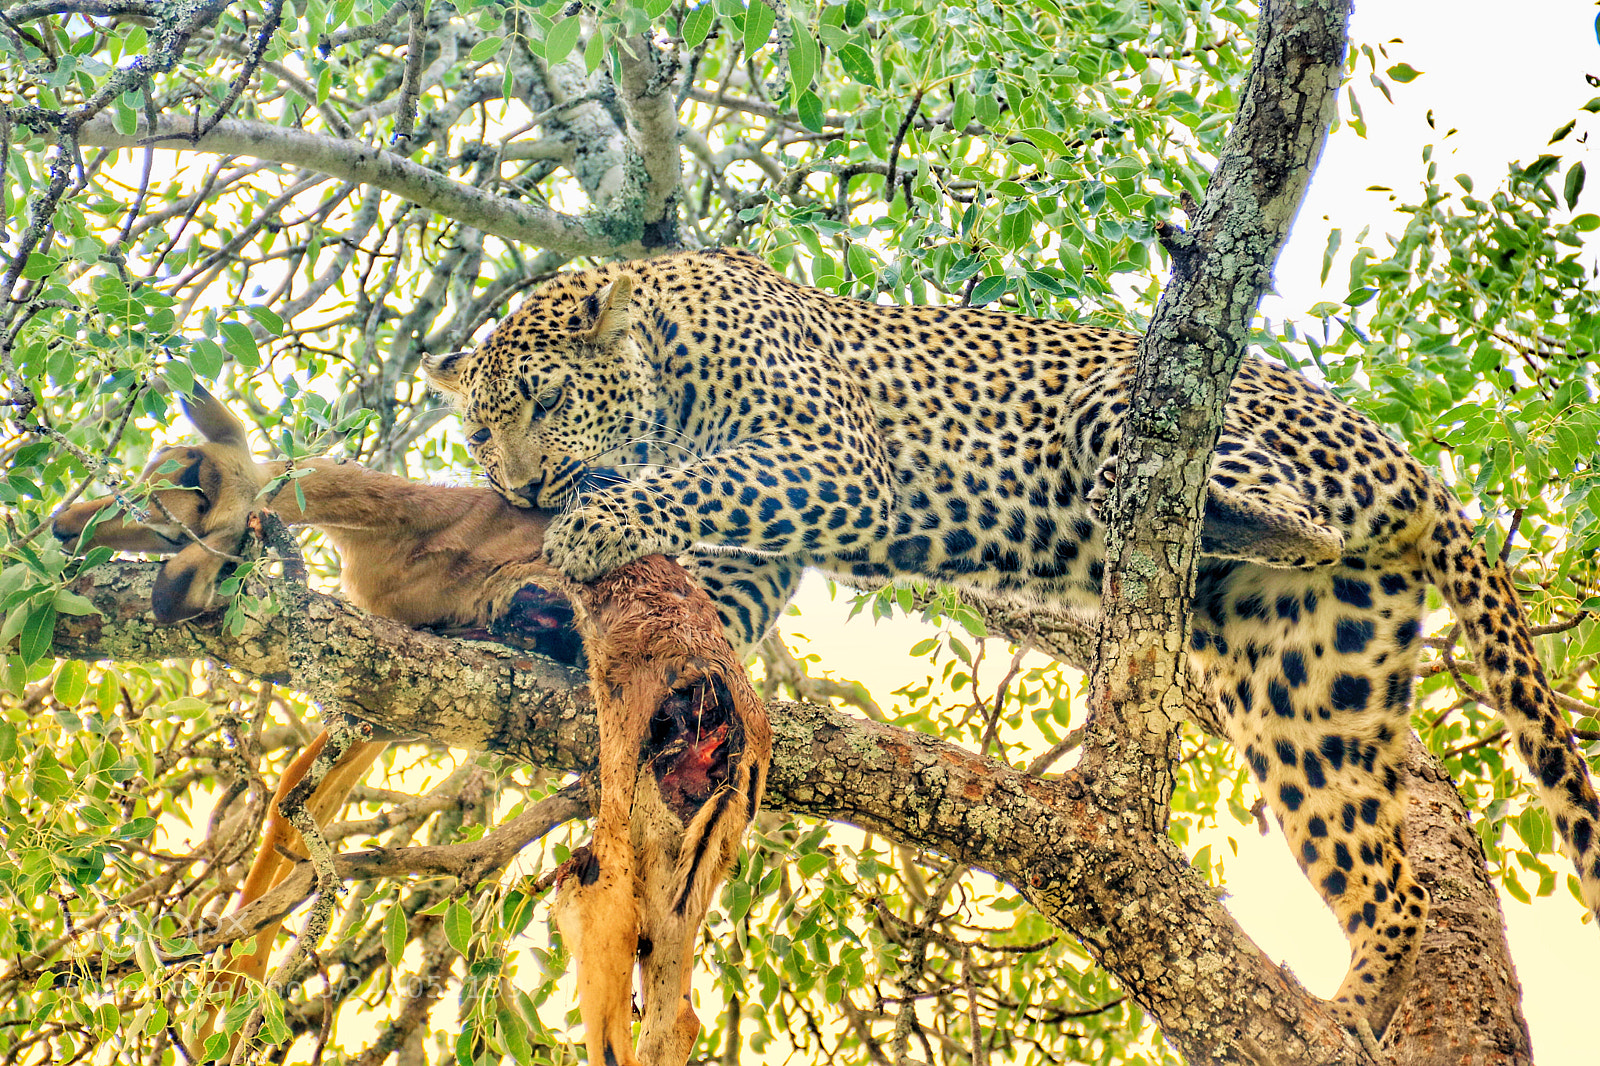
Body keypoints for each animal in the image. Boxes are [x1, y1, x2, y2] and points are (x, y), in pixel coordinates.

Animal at [421, 246, 1600, 1035]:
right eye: (478, 428)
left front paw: (591, 524)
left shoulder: (830, 460)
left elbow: (706, 483)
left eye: (546, 398)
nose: (519, 485)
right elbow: (718, 593)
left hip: (1141, 408)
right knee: (1393, 879)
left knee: (1266, 501)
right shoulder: (767, 545)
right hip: (1306, 686)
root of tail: (1410, 465)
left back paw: (1135, 503)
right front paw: (550, 621)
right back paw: (1348, 1015)